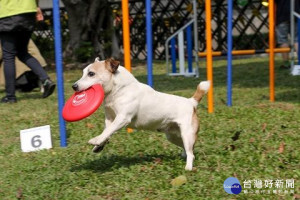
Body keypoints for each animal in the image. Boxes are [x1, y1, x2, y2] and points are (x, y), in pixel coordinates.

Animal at [72, 57, 209, 170]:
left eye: (91, 74)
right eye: (83, 73)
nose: (74, 86)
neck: (119, 90)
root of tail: (191, 102)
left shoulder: (122, 118)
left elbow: (108, 131)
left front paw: (96, 140)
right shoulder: (110, 119)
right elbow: (107, 131)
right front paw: (99, 145)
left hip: (187, 134)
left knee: (191, 153)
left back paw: (188, 168)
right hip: (172, 136)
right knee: (188, 149)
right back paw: (184, 155)